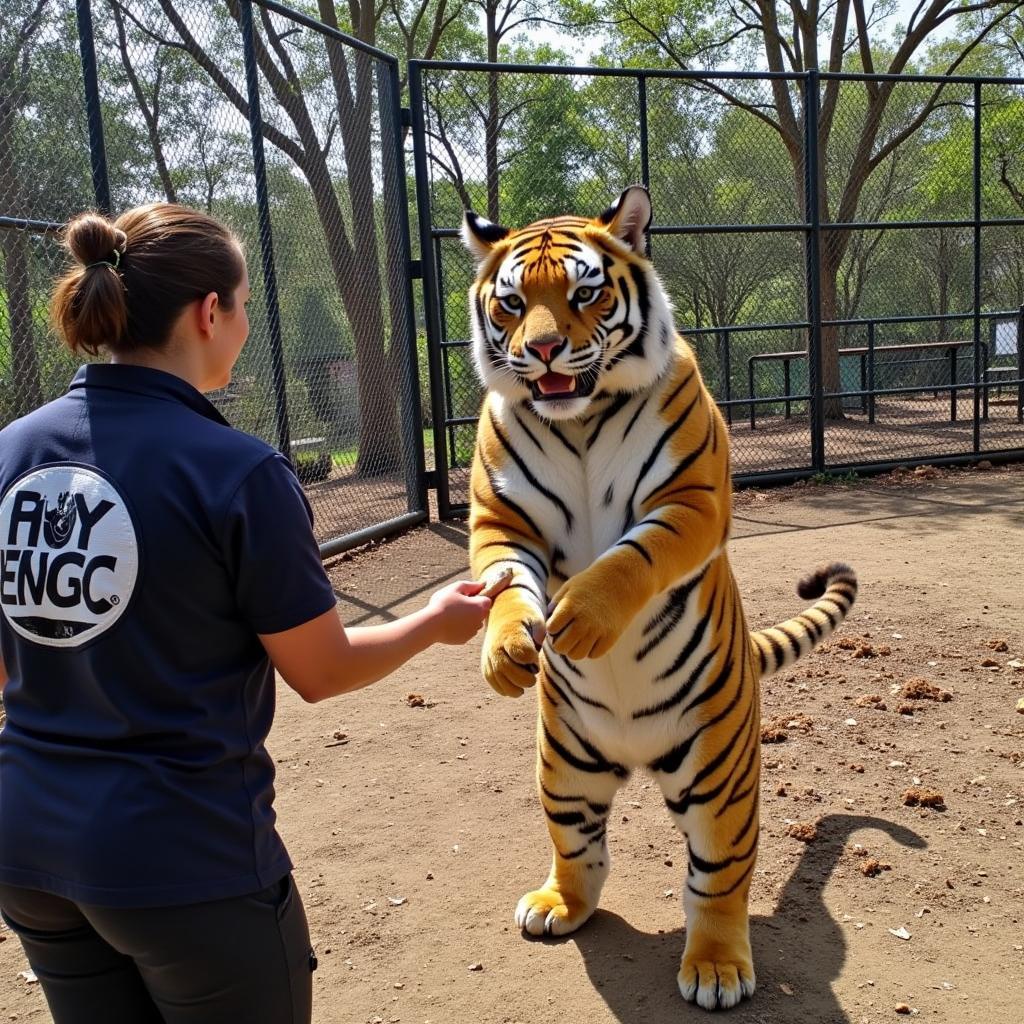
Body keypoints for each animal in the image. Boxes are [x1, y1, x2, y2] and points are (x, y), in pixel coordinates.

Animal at [464, 184, 856, 1007]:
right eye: (512, 304)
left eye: (584, 293)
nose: (541, 350)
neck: (578, 422)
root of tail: (633, 756)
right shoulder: (499, 518)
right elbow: (506, 583)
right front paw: (510, 649)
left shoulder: (690, 498)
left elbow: (627, 559)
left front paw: (582, 617)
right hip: (564, 763)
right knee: (579, 848)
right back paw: (556, 906)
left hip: (718, 773)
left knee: (717, 877)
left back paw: (715, 966)